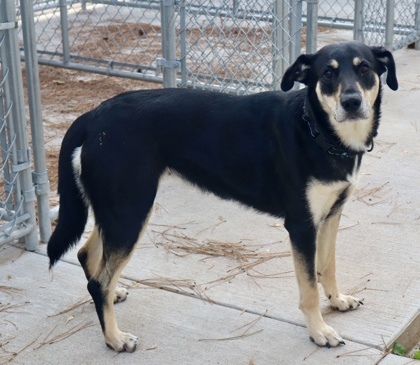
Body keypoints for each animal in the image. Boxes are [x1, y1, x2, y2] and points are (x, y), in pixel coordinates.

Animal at [48, 41, 398, 352]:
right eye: (327, 74)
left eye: (364, 69)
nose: (351, 102)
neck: (316, 130)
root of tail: (95, 115)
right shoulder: (301, 225)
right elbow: (309, 288)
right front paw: (319, 332)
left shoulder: (330, 214)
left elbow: (327, 266)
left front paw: (337, 300)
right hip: (130, 211)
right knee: (99, 280)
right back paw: (114, 338)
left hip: (117, 210)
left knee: (88, 256)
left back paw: (113, 295)